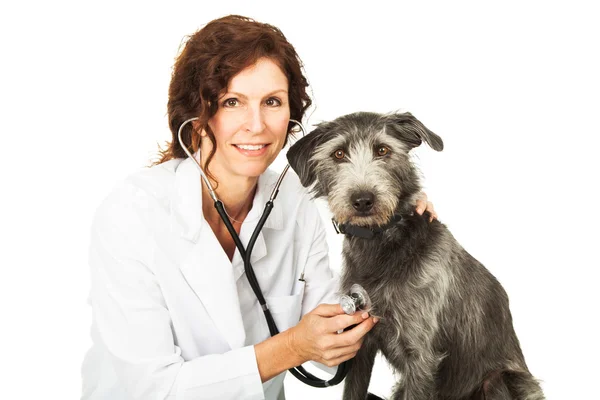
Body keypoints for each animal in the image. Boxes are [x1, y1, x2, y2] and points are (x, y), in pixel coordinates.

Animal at [286, 111, 544, 400]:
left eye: (383, 150)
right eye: (339, 153)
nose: (363, 200)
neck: (382, 245)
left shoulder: (421, 357)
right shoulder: (359, 344)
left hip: (499, 380)